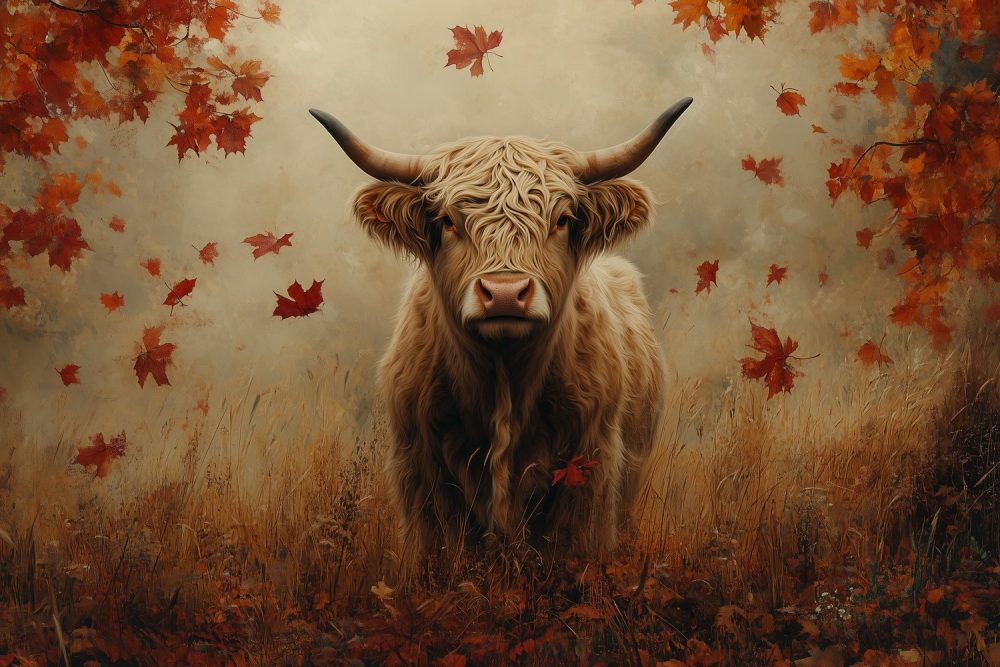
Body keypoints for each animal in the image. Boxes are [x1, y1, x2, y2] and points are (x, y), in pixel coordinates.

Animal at [309, 99, 692, 571]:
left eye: (562, 220)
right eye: (448, 221)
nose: (506, 293)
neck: (503, 386)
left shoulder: (591, 465)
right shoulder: (421, 469)